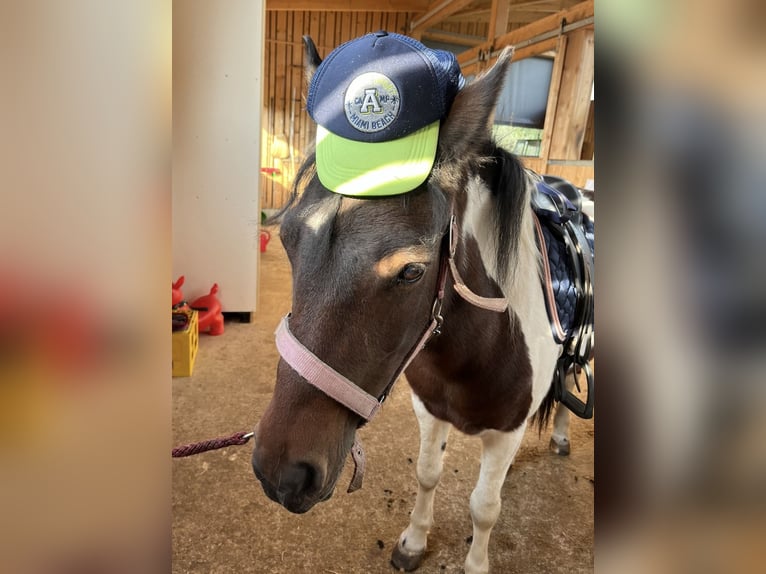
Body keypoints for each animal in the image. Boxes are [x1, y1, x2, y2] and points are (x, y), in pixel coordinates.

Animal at [252, 36, 591, 574]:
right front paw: (413, 541)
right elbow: (428, 475)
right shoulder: (429, 411)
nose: (280, 472)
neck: (472, 350)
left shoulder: (506, 432)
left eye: (411, 271)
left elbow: (484, 506)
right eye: (287, 240)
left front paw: (475, 563)